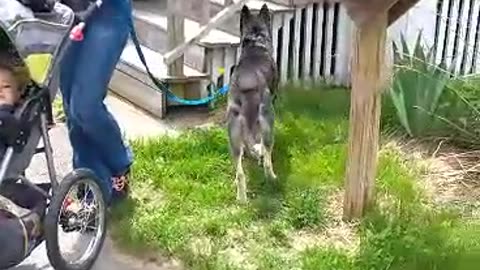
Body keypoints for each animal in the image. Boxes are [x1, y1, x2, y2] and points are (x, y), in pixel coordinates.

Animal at [228, 3, 280, 202]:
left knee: (240, 173)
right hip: (268, 123)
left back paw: (241, 198)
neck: (256, 41)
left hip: (233, 135)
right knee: (267, 157)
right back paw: (272, 178)